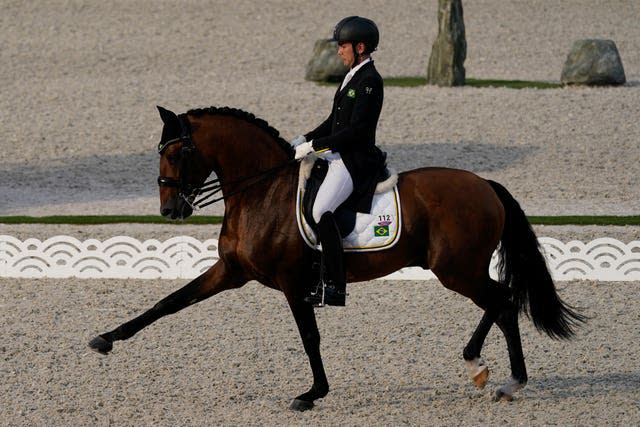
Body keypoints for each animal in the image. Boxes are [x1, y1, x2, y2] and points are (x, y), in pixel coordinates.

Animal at [90, 105, 584, 410]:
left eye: (177, 153)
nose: (169, 211)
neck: (261, 191)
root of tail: (486, 185)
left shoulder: (293, 283)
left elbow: (310, 338)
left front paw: (312, 393)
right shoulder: (231, 271)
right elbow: (169, 302)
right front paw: (106, 339)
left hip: (456, 270)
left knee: (502, 300)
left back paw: (497, 376)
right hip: (460, 268)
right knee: (502, 302)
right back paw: (491, 374)